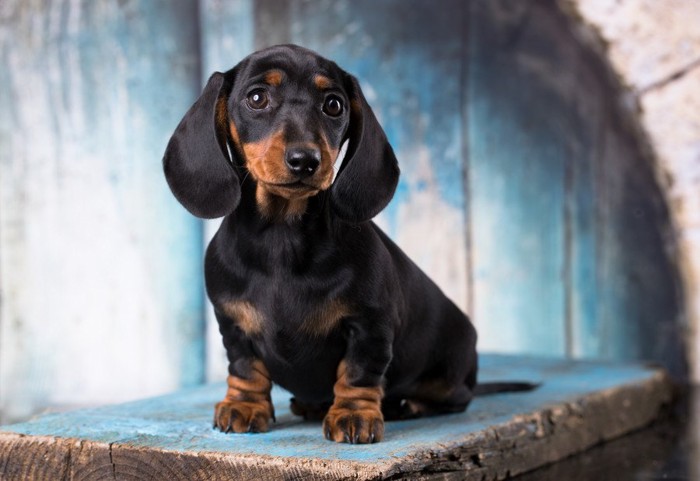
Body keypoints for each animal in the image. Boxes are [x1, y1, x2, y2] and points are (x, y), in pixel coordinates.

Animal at [163, 45, 478, 442]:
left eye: (333, 104)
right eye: (256, 98)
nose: (305, 160)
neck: (282, 238)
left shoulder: (370, 326)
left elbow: (359, 373)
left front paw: (354, 415)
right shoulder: (232, 326)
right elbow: (245, 367)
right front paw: (244, 405)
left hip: (449, 377)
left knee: (456, 397)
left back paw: (405, 405)